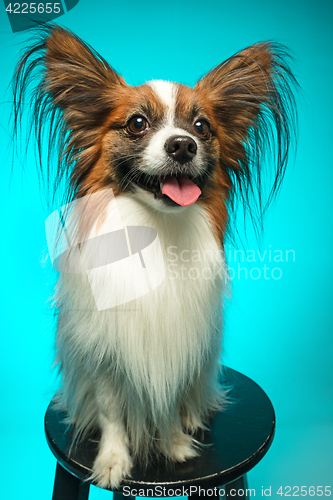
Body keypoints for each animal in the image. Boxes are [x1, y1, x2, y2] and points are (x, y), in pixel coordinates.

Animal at [12, 26, 296, 488]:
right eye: (137, 124)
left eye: (201, 126)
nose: (183, 145)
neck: (157, 230)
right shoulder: (105, 353)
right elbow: (111, 411)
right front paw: (112, 460)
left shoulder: (175, 347)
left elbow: (166, 401)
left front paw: (176, 443)